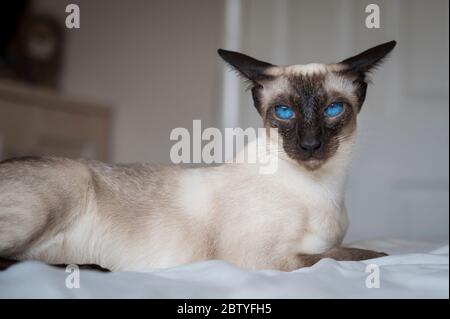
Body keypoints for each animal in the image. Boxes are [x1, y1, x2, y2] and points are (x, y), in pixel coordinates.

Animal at [0, 40, 394, 272]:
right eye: (284, 113)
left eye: (332, 110)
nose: (310, 144)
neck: (324, 189)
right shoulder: (267, 259)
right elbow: (355, 255)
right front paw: (390, 257)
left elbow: (344, 250)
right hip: (64, 187)